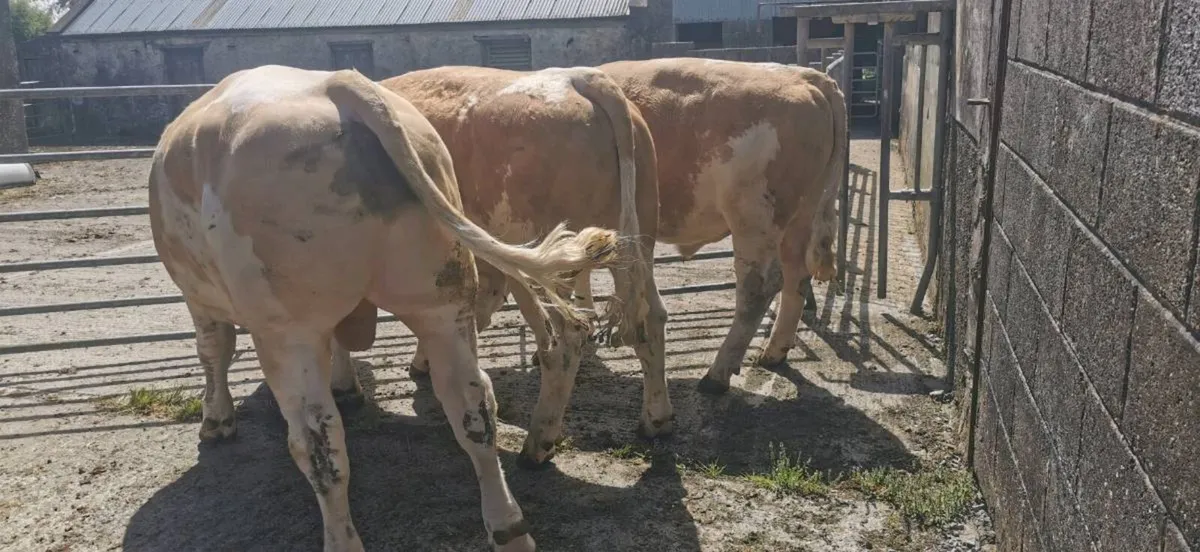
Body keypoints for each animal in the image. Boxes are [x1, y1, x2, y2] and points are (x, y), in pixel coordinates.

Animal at [149, 64, 622, 552]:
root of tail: (340, 86)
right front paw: (347, 384)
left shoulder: (200, 299)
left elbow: (214, 352)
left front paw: (216, 420)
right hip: (442, 303)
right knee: (474, 407)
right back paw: (509, 526)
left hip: (288, 330)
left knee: (319, 441)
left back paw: (342, 538)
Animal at [327, 65, 671, 468]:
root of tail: (581, 77)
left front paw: (345, 386)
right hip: (634, 242)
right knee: (651, 316)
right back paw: (656, 420)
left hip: (540, 257)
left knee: (567, 336)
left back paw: (538, 444)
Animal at [588, 58, 847, 394]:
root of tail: (805, 76)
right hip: (801, 215)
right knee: (796, 277)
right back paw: (773, 354)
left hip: (753, 217)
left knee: (758, 288)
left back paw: (717, 375)